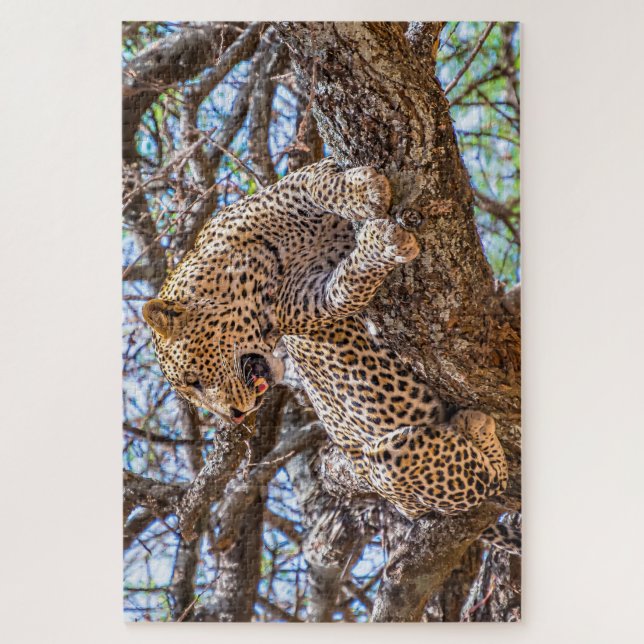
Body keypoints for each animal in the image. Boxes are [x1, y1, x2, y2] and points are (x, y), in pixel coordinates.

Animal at [142, 158, 509, 522]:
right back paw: (476, 425)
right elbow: (348, 286)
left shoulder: (290, 188)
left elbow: (319, 185)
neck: (255, 278)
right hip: (387, 465)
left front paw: (364, 192)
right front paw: (382, 242)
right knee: (490, 483)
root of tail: (407, 508)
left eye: (194, 381)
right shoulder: (311, 301)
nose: (233, 417)